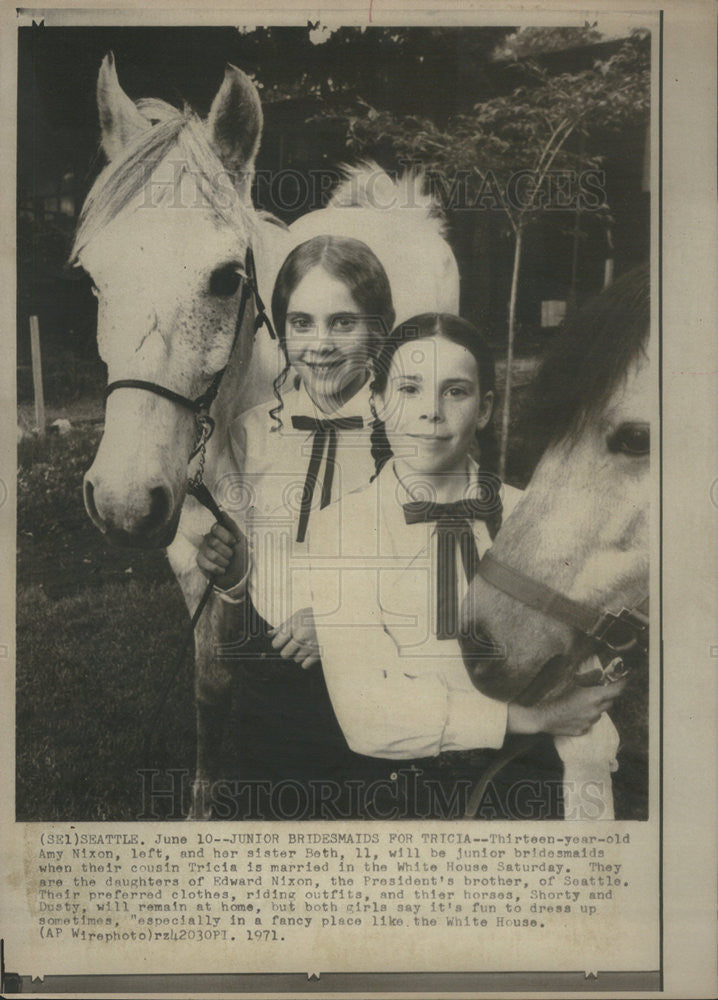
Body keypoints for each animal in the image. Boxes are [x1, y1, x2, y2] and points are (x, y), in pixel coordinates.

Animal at [71, 54, 456, 816]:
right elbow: (211, 686)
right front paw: (203, 805)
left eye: (226, 278)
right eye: (95, 281)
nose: (123, 501)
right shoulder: (194, 548)